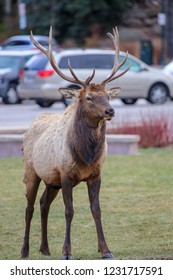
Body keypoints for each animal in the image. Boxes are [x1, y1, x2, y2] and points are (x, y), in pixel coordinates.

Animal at [21, 25, 130, 260]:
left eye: (108, 95)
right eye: (88, 97)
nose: (110, 111)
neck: (86, 154)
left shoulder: (96, 175)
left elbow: (96, 209)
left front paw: (106, 250)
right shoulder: (65, 175)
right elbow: (69, 211)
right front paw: (67, 252)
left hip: (51, 180)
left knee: (43, 204)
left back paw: (45, 248)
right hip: (31, 171)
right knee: (29, 207)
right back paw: (24, 250)